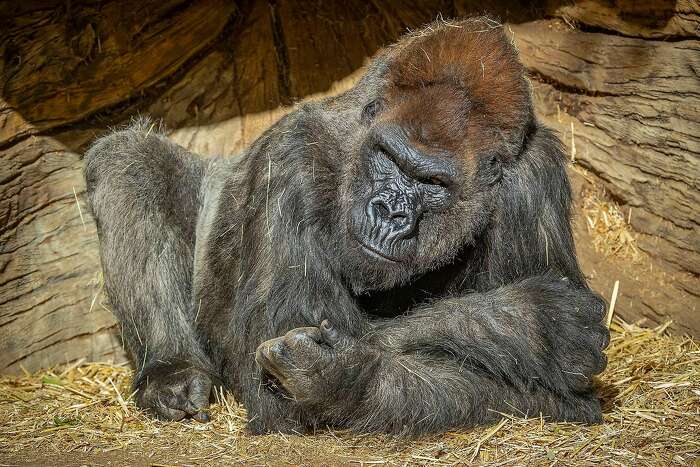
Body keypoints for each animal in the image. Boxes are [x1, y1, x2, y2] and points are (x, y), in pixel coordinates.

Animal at [80, 17, 608, 436]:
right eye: (389, 159)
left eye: (432, 182)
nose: (390, 212)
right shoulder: (289, 160)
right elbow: (273, 384)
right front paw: (533, 322)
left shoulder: (533, 179)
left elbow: (559, 400)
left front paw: (342, 378)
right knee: (130, 160)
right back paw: (171, 371)